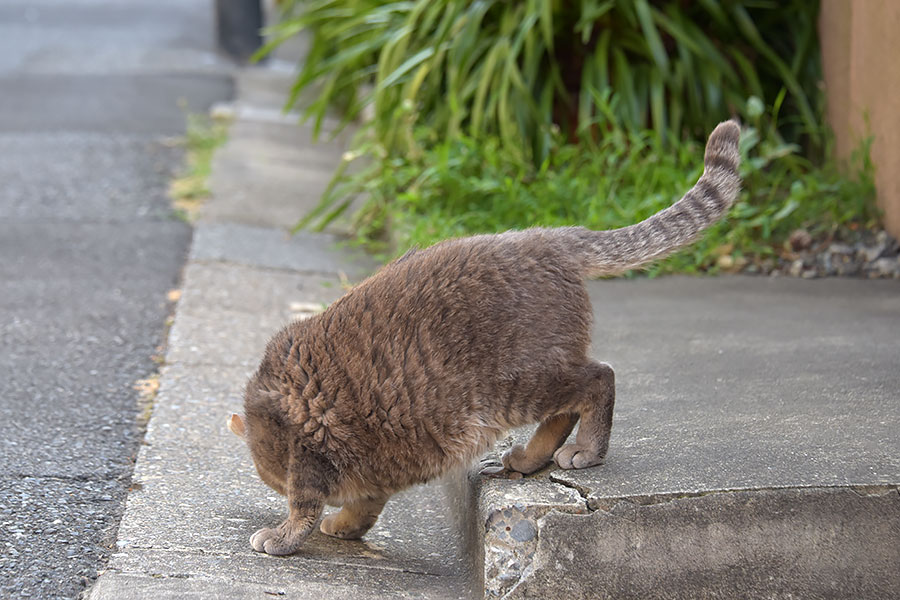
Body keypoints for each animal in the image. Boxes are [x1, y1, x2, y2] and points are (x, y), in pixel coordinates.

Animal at [229, 119, 740, 556]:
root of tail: (550, 238)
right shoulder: (374, 468)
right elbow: (364, 504)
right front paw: (343, 524)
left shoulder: (308, 453)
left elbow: (305, 503)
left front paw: (286, 534)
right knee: (565, 408)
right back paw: (529, 459)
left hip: (517, 383)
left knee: (599, 379)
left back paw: (586, 450)